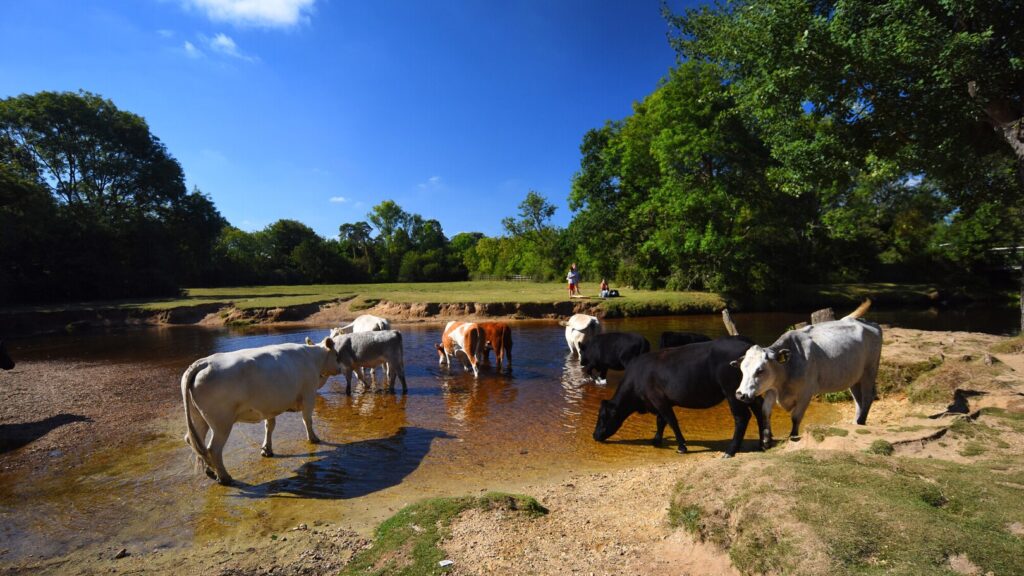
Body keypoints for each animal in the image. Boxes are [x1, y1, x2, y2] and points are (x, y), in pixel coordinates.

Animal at [181, 336, 342, 485]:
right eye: (336, 355)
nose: (340, 369)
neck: (313, 358)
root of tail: (204, 362)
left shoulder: (269, 406)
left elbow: (269, 426)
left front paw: (267, 449)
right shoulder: (309, 395)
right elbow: (307, 420)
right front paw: (313, 438)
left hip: (199, 417)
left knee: (196, 441)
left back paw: (210, 470)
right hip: (221, 422)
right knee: (213, 449)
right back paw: (224, 477)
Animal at [593, 336, 768, 457]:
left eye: (602, 417)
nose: (594, 436)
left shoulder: (658, 399)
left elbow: (671, 421)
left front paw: (681, 447)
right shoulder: (660, 401)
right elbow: (661, 421)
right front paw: (656, 441)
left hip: (732, 392)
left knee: (742, 417)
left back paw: (730, 451)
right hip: (748, 393)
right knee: (760, 409)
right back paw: (763, 443)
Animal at [733, 300, 881, 445]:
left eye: (760, 370)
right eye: (742, 369)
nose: (740, 394)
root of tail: (867, 322)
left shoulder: (806, 393)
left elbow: (795, 417)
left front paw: (793, 436)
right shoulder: (771, 389)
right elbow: (765, 412)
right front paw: (766, 440)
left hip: (870, 371)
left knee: (868, 396)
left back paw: (861, 421)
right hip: (854, 378)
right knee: (858, 400)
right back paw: (856, 423)